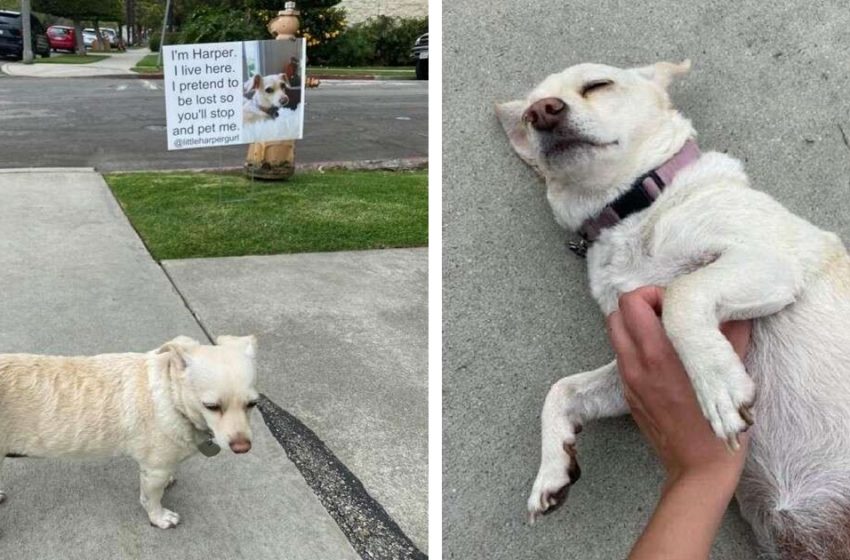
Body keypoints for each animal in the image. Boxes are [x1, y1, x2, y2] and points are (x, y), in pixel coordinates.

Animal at [0, 336, 258, 528]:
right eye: (211, 406)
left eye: (253, 404)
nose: (243, 447)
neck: (171, 394)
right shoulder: (154, 471)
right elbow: (151, 499)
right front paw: (159, 518)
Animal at [494, 59, 848, 556]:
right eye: (528, 117)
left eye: (598, 85)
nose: (544, 111)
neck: (631, 214)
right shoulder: (634, 359)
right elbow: (563, 388)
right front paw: (551, 468)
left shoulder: (770, 263)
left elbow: (684, 293)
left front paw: (718, 386)